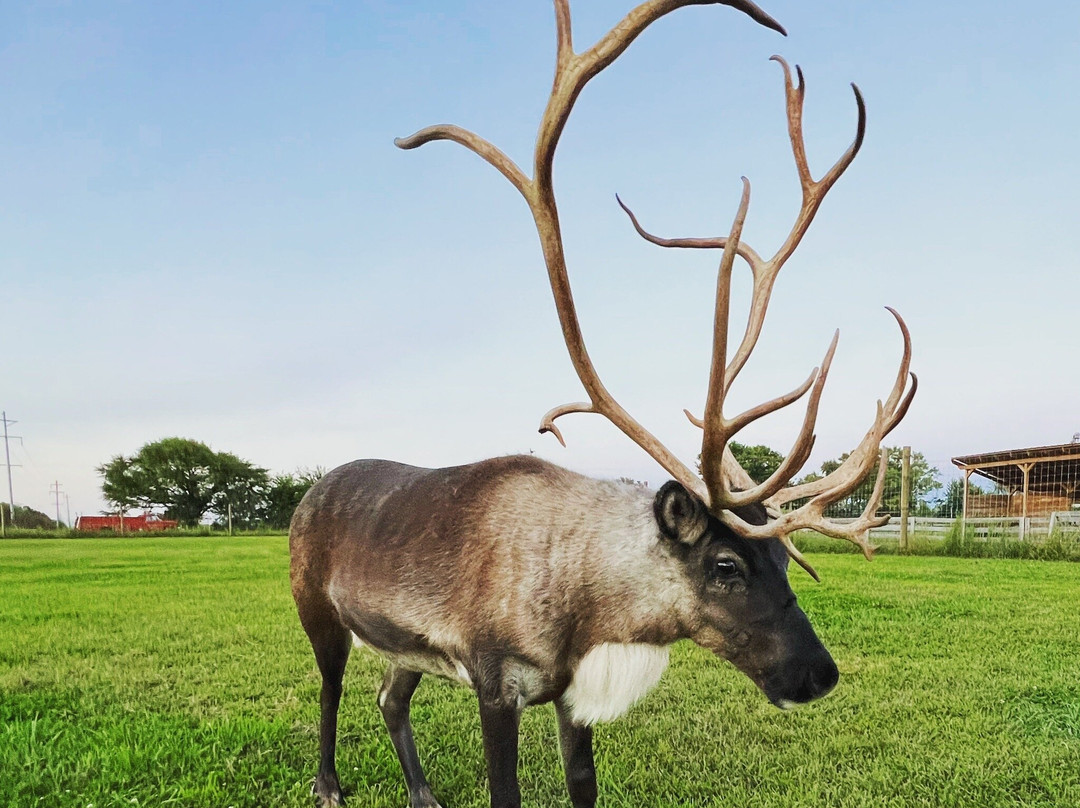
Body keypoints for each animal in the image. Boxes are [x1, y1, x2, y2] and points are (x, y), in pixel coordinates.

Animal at [289, 2, 916, 807]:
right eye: (725, 565)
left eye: (783, 556)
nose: (820, 674)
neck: (587, 609)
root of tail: (314, 487)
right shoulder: (495, 682)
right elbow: (505, 791)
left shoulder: (568, 692)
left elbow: (583, 786)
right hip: (317, 609)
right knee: (332, 691)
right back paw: (328, 784)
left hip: (406, 647)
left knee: (388, 698)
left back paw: (422, 793)